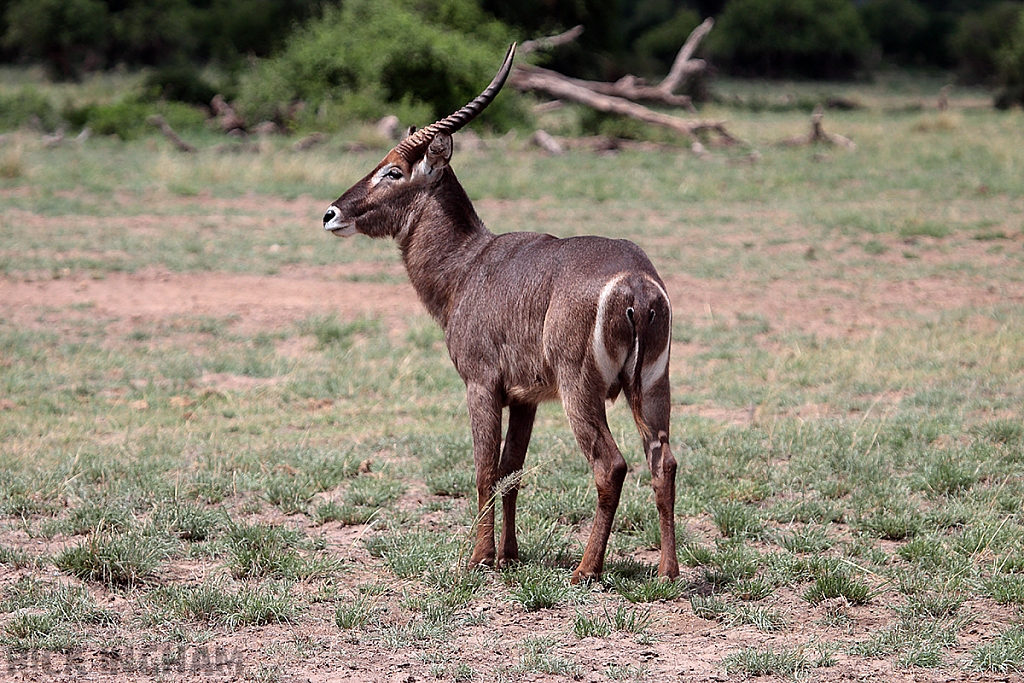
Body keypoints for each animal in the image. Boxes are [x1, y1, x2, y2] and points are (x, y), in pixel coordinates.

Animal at [323, 44, 679, 581]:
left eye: (393, 170)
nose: (331, 213)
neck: (467, 264)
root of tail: (635, 283)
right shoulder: (525, 396)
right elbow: (512, 468)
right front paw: (509, 555)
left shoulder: (481, 382)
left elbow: (484, 467)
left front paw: (477, 558)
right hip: (653, 385)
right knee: (664, 462)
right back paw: (668, 572)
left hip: (581, 388)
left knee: (611, 465)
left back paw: (587, 571)